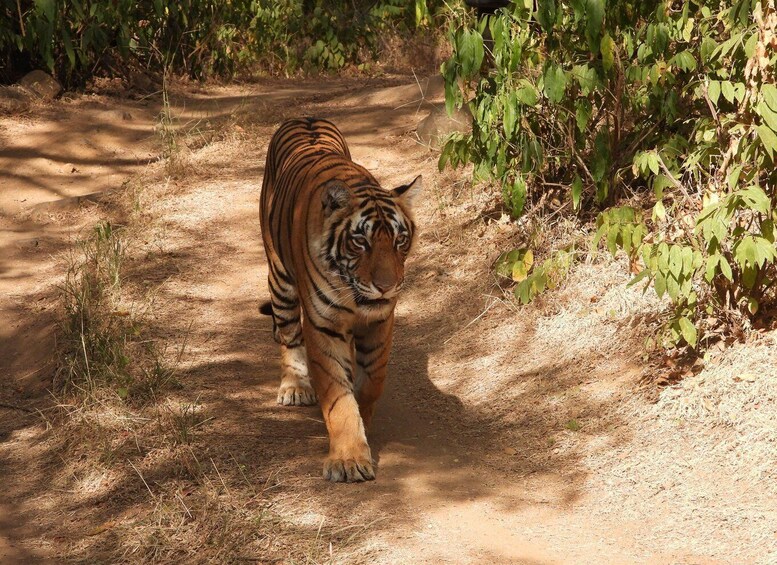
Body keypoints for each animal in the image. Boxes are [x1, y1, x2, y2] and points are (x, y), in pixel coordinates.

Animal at [259, 117, 422, 483]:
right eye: (360, 242)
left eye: (400, 240)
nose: (387, 286)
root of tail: (304, 117)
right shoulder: (324, 326)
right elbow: (338, 398)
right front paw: (348, 460)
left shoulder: (381, 320)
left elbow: (373, 378)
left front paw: (364, 415)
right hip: (280, 280)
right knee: (288, 335)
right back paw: (294, 387)